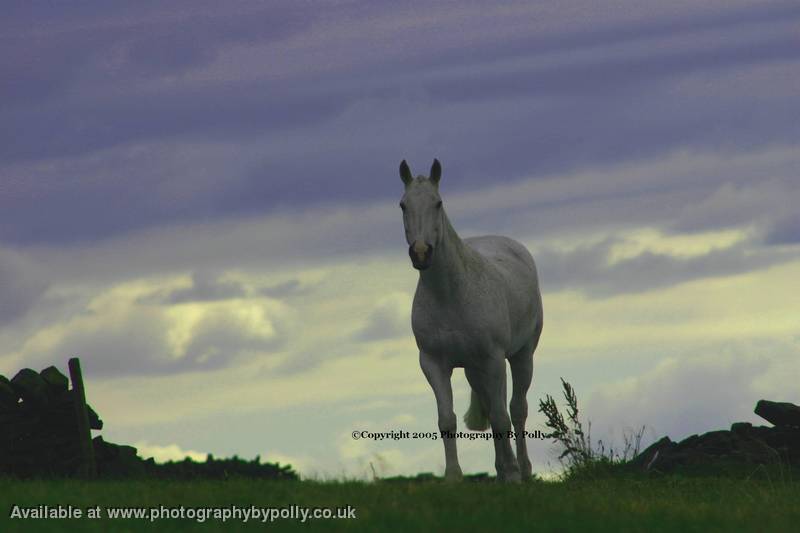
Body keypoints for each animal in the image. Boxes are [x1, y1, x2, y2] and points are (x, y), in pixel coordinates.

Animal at [398, 158, 544, 482]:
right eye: (402, 205)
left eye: (438, 203)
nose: (421, 253)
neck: (450, 295)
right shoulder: (433, 364)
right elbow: (447, 420)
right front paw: (454, 477)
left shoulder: (493, 359)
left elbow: (502, 417)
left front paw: (513, 475)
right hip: (476, 369)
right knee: (493, 405)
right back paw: (502, 469)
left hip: (520, 356)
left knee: (516, 409)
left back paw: (523, 470)